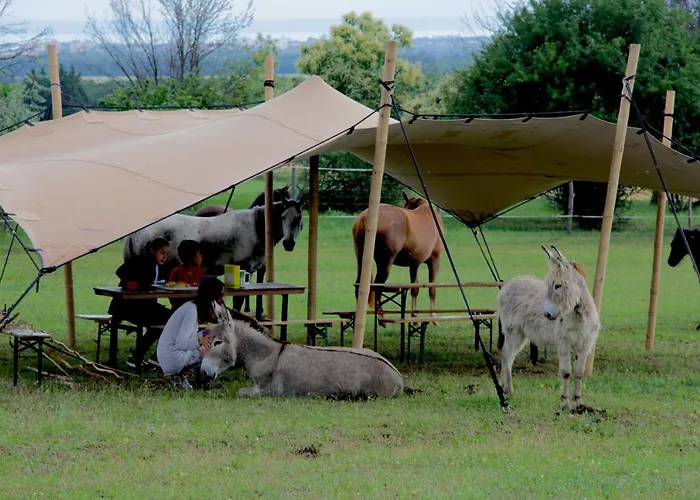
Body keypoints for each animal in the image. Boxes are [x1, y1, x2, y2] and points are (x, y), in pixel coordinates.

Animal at [200, 304, 405, 399]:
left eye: (218, 342)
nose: (203, 372)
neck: (268, 356)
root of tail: (398, 376)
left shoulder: (269, 391)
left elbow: (241, 391)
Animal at [497, 245, 600, 411]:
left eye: (558, 286)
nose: (547, 314)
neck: (578, 315)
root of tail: (509, 283)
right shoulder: (563, 343)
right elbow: (566, 372)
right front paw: (565, 404)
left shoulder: (584, 345)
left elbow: (579, 373)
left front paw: (579, 404)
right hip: (513, 331)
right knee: (506, 355)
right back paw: (509, 391)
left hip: (520, 335)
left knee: (509, 356)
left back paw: (503, 388)